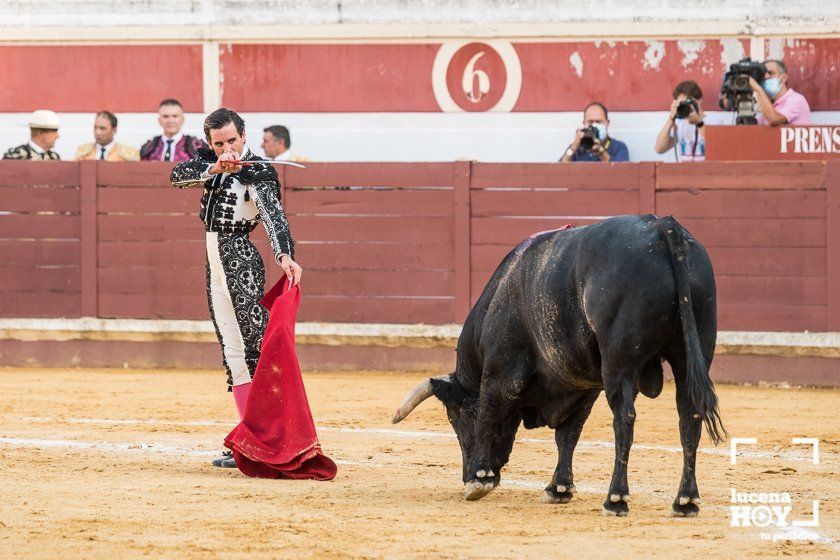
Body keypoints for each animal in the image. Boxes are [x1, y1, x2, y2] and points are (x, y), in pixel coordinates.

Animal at [390, 213, 724, 516]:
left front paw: (478, 479)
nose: (465, 475)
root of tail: (662, 226)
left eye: (455, 417)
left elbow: (488, 414)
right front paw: (559, 489)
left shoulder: (500, 373)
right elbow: (568, 434)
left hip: (620, 364)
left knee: (625, 419)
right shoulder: (582, 386)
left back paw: (616, 498)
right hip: (690, 355)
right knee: (690, 416)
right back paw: (685, 501)